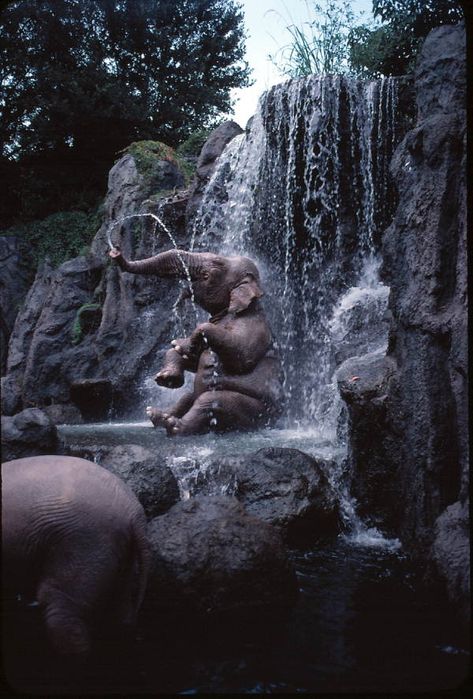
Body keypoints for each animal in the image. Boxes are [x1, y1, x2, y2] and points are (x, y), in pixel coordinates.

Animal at [109, 246, 282, 432]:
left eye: (214, 267)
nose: (115, 252)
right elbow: (193, 360)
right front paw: (168, 375)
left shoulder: (253, 326)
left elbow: (242, 357)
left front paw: (184, 344)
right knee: (187, 396)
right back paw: (157, 415)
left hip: (257, 413)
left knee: (210, 401)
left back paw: (173, 426)